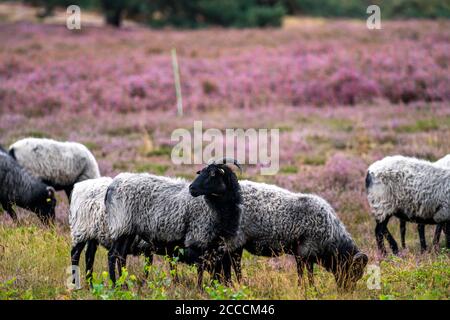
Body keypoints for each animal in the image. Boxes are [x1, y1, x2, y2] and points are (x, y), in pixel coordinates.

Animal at [103, 158, 243, 284]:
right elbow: (201, 269)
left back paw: (124, 284)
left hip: (128, 230)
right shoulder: (197, 239)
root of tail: (112, 185)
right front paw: (200, 289)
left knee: (121, 256)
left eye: (213, 174)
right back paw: (115, 285)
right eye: (202, 172)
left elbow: (217, 272)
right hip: (121, 225)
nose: (192, 188)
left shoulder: (216, 246)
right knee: (112, 255)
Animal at [209, 181, 368, 292]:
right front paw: (309, 290)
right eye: (354, 271)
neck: (331, 236)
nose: (348, 292)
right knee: (232, 266)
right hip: (235, 241)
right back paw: (239, 285)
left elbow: (303, 273)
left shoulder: (301, 255)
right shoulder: (306, 252)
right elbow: (307, 274)